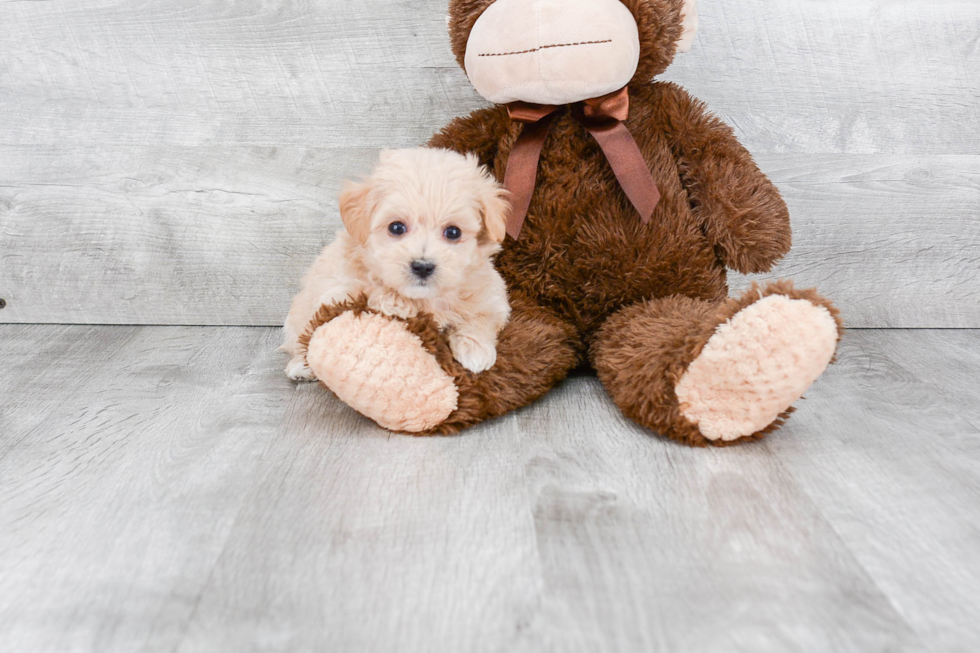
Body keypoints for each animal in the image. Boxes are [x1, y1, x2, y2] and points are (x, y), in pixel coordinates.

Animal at [282, 146, 512, 382]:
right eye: (396, 227)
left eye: (453, 232)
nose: (422, 266)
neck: (426, 298)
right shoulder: (340, 287)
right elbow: (372, 295)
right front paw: (398, 303)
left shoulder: (489, 291)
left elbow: (483, 315)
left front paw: (476, 350)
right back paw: (301, 367)